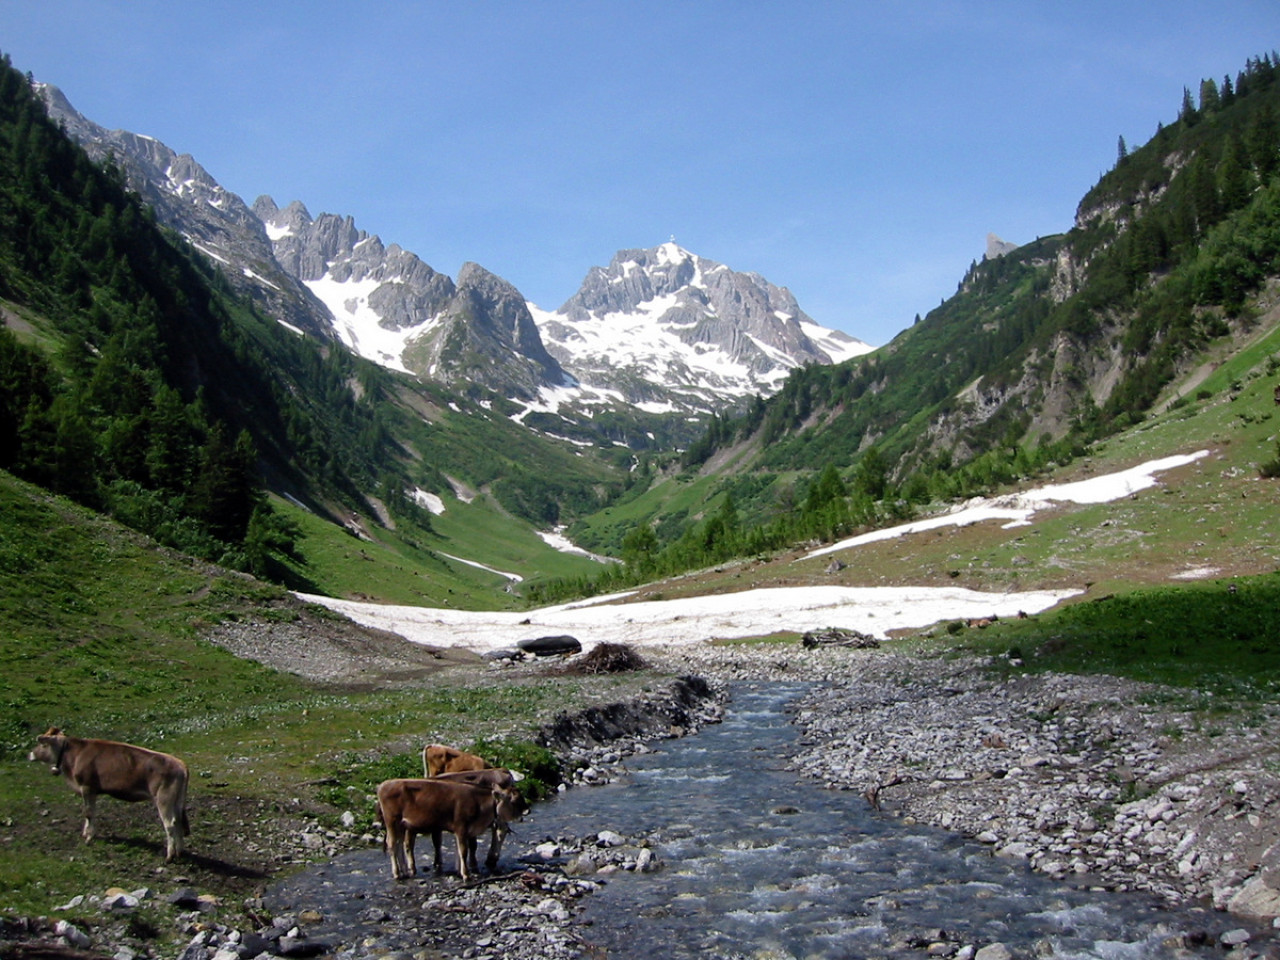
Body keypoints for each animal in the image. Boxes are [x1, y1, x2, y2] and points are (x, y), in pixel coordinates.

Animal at [28, 727, 188, 865]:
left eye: (42, 744)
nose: (29, 754)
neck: (75, 755)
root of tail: (180, 764)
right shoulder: (92, 791)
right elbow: (91, 812)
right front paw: (87, 833)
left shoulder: (87, 786)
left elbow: (88, 813)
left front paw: (89, 837)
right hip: (177, 801)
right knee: (179, 822)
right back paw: (179, 852)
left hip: (163, 799)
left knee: (170, 825)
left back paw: (169, 856)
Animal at [373, 778, 524, 885]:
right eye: (515, 800)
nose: (525, 811)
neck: (478, 802)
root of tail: (383, 785)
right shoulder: (461, 828)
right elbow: (463, 851)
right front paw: (466, 875)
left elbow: (460, 850)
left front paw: (460, 872)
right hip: (392, 822)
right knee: (392, 844)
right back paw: (397, 873)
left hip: (401, 825)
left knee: (398, 844)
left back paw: (405, 871)